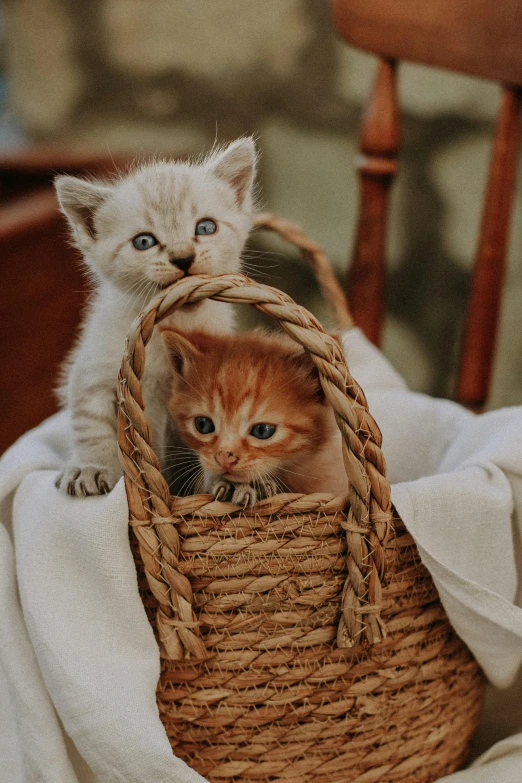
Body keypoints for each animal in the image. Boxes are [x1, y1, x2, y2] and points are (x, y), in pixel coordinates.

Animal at [54, 139, 256, 496]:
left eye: (205, 227)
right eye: (144, 241)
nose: (183, 256)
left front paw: (228, 480)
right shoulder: (93, 368)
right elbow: (91, 423)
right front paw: (93, 467)